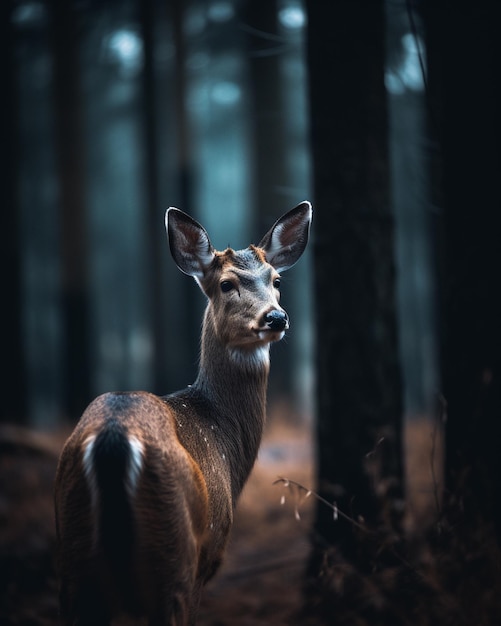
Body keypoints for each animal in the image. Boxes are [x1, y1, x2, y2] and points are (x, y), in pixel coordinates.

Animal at [53, 202, 308, 620]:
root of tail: (112, 439)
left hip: (73, 554)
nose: (276, 317)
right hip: (173, 555)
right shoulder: (210, 551)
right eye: (226, 284)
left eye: (276, 280)